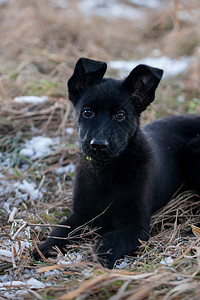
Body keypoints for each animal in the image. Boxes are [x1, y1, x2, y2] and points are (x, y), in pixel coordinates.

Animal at [32, 57, 200, 268]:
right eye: (87, 112)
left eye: (120, 115)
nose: (98, 145)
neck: (106, 171)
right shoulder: (80, 214)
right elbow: (61, 229)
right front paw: (44, 248)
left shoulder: (136, 227)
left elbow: (110, 239)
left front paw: (96, 260)